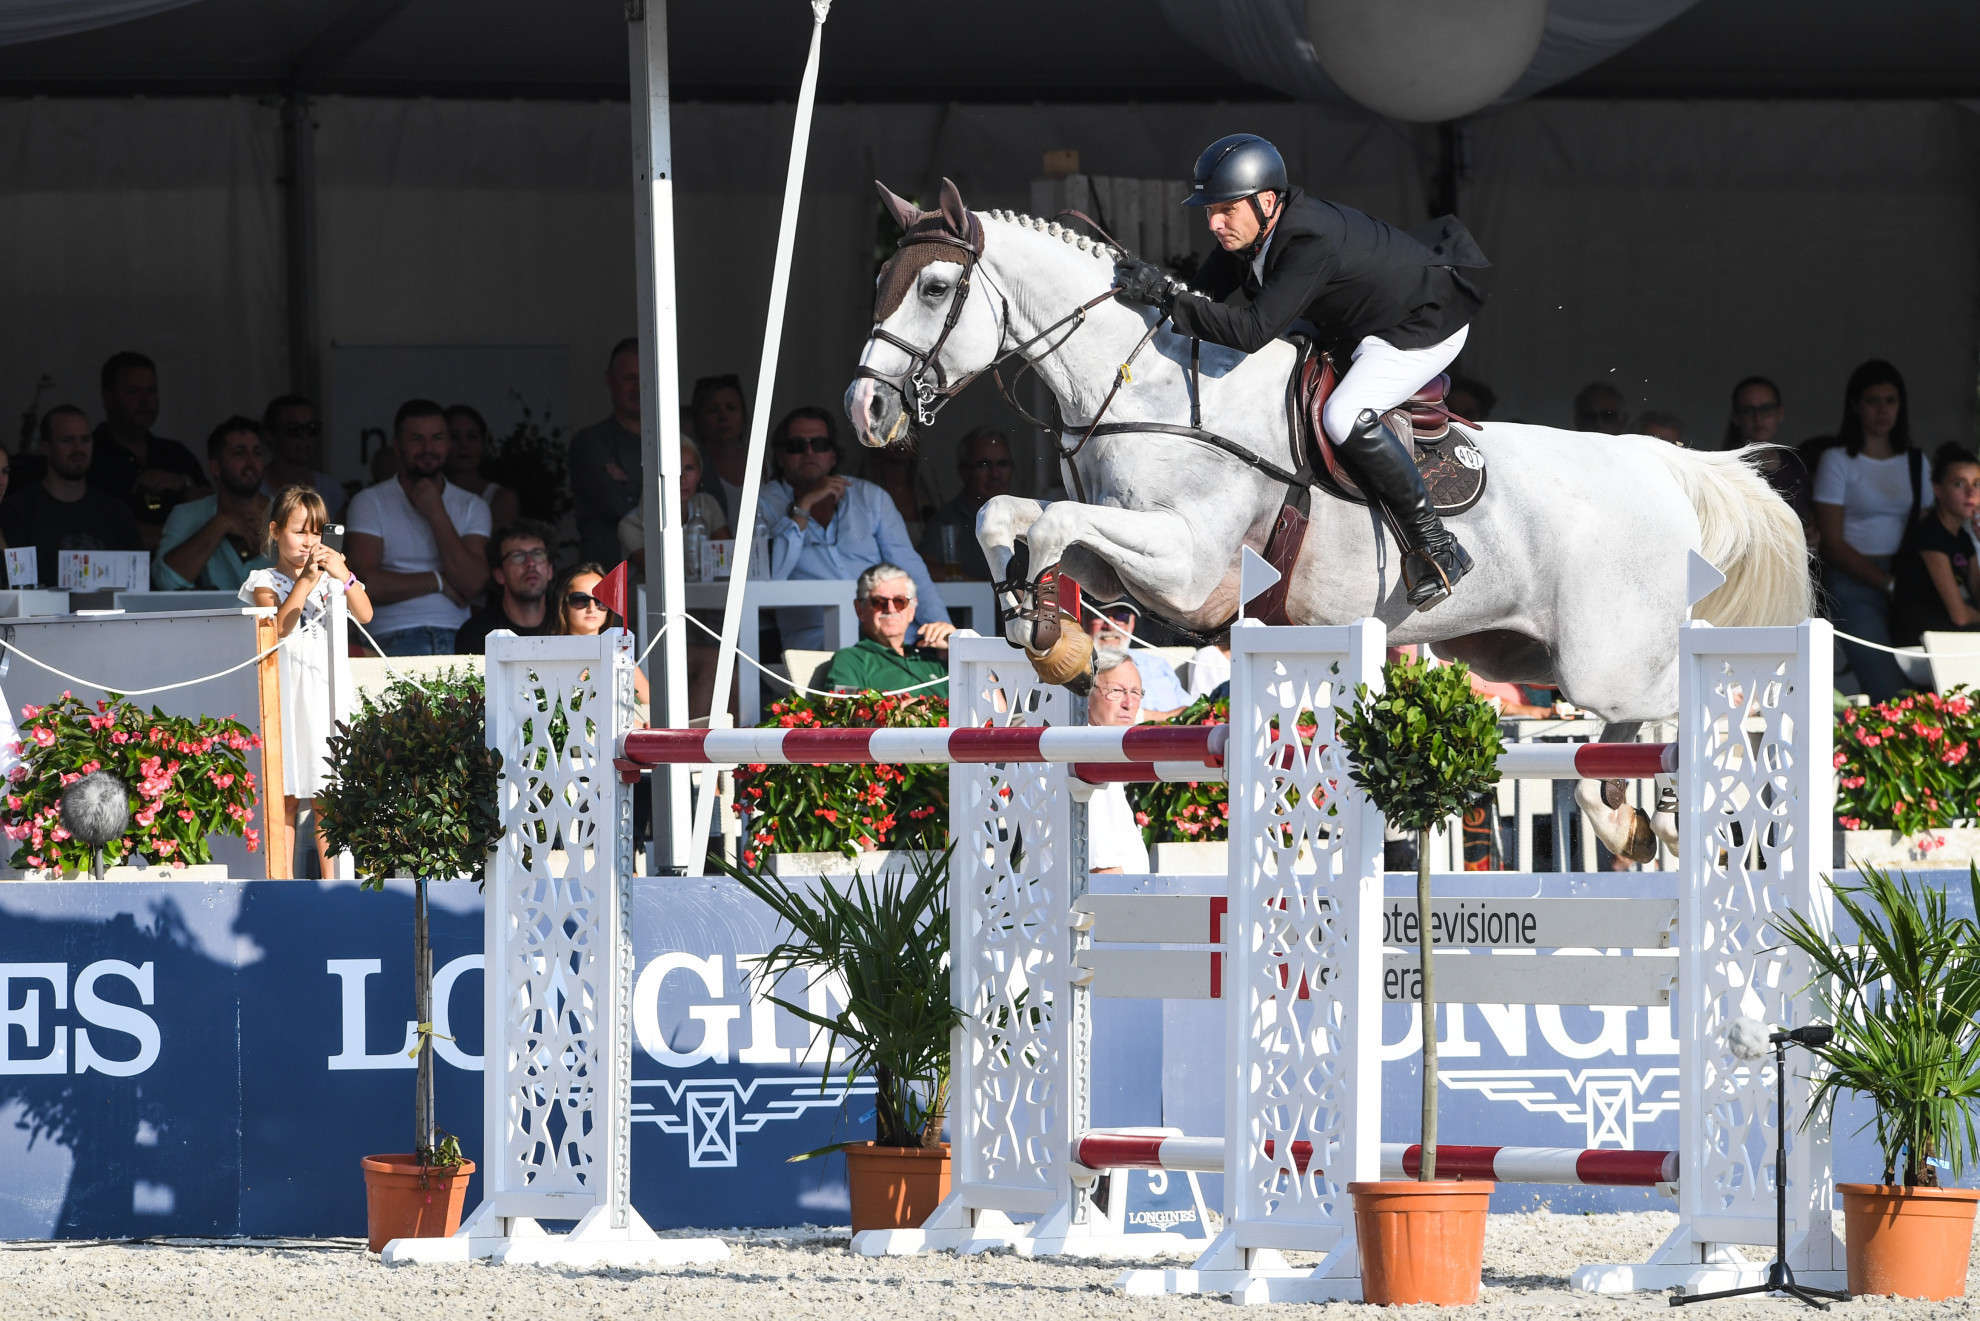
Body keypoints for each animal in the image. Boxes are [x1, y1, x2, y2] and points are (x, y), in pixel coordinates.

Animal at [843, 186, 1805, 863]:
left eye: (935, 286)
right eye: (881, 282)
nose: (866, 411)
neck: (1141, 386)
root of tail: (1664, 465)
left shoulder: (1186, 564)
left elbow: (1049, 526)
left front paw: (1043, 625)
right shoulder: (1123, 559)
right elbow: (1008, 514)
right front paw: (1035, 617)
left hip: (1607, 657)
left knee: (1688, 707)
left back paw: (1682, 809)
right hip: (1524, 655)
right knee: (1614, 749)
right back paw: (1629, 825)